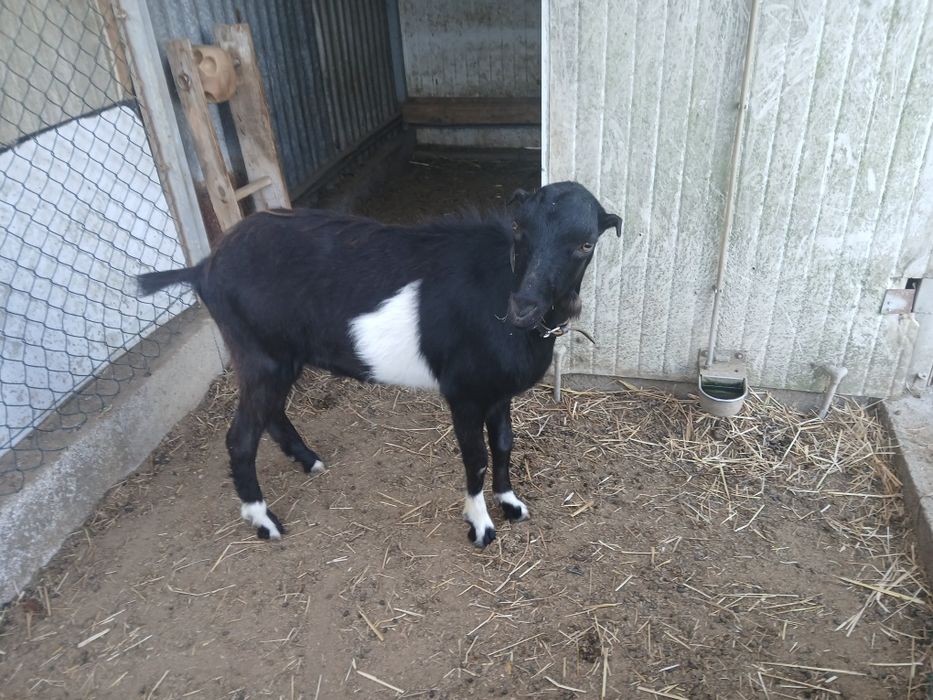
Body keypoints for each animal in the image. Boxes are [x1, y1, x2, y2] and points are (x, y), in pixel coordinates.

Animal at [138, 181, 621, 547]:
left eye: (585, 244)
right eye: (519, 228)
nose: (522, 308)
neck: (499, 287)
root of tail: (204, 267)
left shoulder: (497, 392)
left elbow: (503, 443)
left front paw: (512, 504)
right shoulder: (463, 391)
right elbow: (477, 456)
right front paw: (480, 527)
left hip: (276, 357)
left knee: (269, 414)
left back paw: (308, 461)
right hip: (261, 354)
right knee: (240, 437)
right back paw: (265, 522)